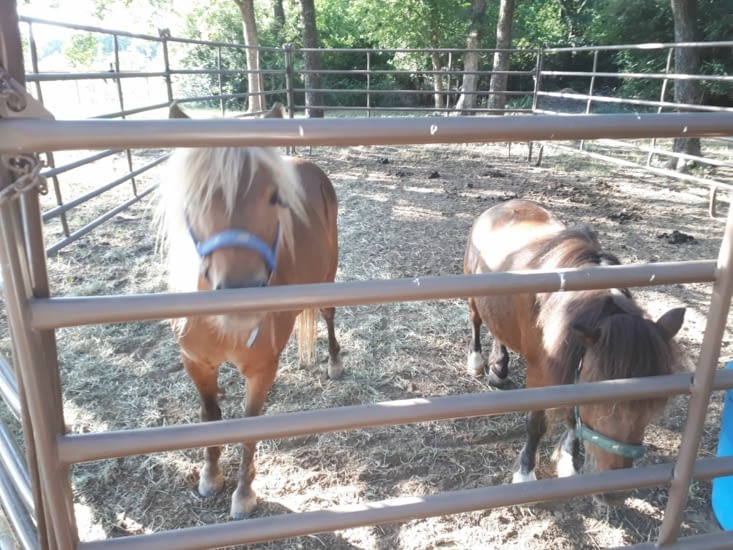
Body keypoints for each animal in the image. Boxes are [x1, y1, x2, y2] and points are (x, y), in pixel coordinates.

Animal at [156, 132, 341, 519]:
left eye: (274, 197)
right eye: (196, 196)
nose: (241, 290)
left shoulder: (259, 371)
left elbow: (248, 426)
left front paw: (243, 495)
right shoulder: (195, 364)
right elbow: (210, 415)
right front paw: (210, 477)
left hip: (328, 277)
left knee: (329, 315)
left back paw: (334, 363)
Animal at [464, 199, 685, 490]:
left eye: (654, 402)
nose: (614, 488)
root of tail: (503, 205)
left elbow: (572, 415)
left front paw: (568, 459)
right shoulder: (542, 373)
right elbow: (537, 423)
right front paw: (525, 472)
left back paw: (499, 369)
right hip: (473, 294)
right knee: (477, 321)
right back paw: (477, 363)